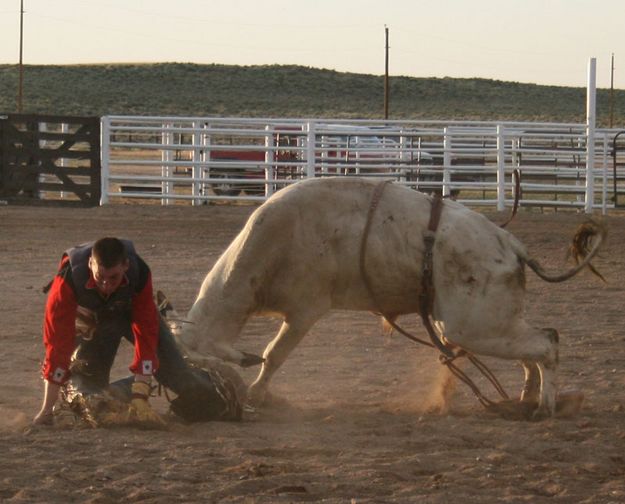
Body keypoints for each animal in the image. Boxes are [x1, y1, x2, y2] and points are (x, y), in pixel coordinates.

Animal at [177, 175, 604, 420]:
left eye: (207, 367)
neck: (274, 241)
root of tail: (512, 245)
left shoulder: (304, 310)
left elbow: (273, 354)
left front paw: (257, 394)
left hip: (474, 325)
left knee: (546, 343)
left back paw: (545, 406)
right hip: (491, 321)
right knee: (531, 348)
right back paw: (525, 398)